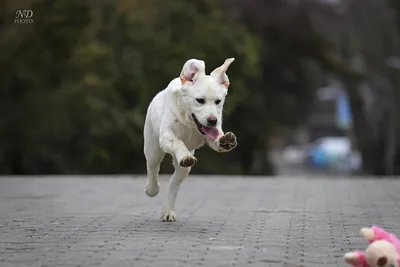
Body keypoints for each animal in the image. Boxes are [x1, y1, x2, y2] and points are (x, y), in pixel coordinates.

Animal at [144, 58, 238, 222]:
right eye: (200, 100)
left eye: (218, 101)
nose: (212, 120)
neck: (190, 124)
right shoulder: (166, 136)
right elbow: (178, 142)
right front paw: (185, 156)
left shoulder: (211, 134)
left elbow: (216, 139)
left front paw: (225, 140)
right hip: (152, 150)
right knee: (153, 169)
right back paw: (152, 189)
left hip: (183, 169)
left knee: (173, 184)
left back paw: (168, 212)